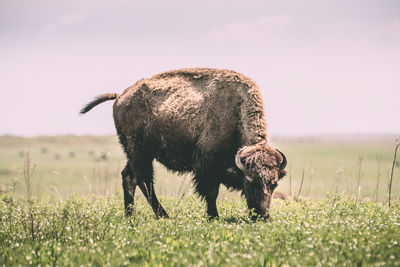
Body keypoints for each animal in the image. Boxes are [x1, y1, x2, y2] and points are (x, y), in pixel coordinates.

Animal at [81, 68, 286, 221]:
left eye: (274, 183)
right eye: (249, 182)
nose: (263, 216)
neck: (236, 110)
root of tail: (120, 95)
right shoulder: (206, 166)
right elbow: (211, 192)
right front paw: (213, 216)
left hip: (137, 153)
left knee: (129, 177)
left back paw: (130, 215)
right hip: (139, 151)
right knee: (144, 180)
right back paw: (163, 215)